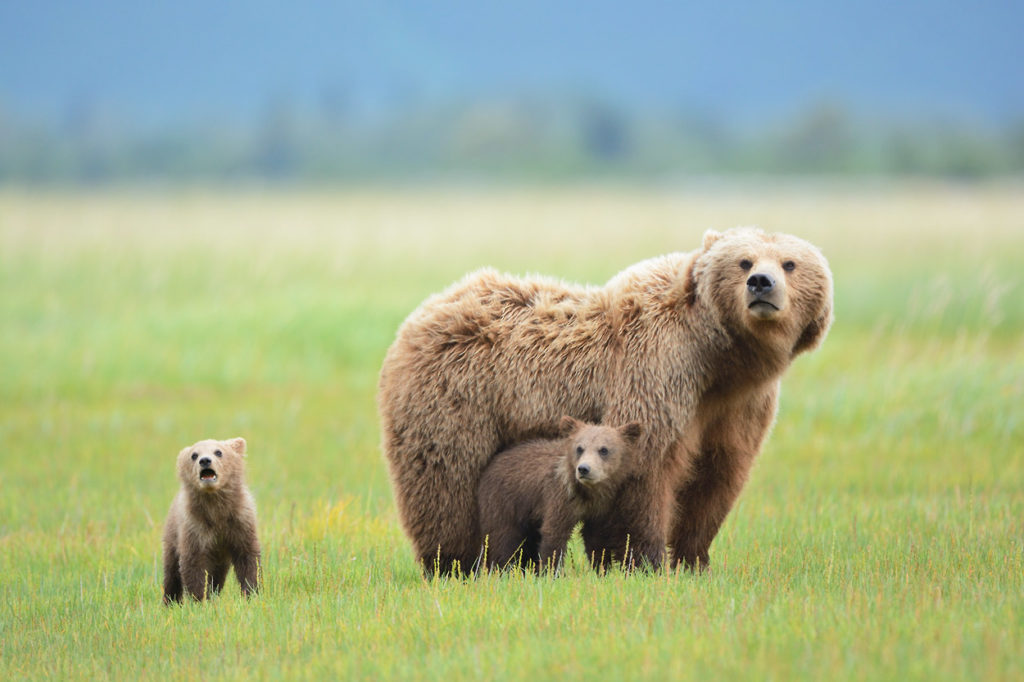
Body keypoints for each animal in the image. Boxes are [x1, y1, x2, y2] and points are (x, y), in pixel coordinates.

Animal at [376, 225, 831, 569]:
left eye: (790, 263)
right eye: (744, 261)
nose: (761, 283)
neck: (719, 358)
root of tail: (421, 315)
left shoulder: (738, 406)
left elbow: (715, 479)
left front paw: (693, 559)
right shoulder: (655, 372)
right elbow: (644, 473)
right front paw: (638, 560)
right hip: (456, 400)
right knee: (446, 485)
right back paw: (454, 562)